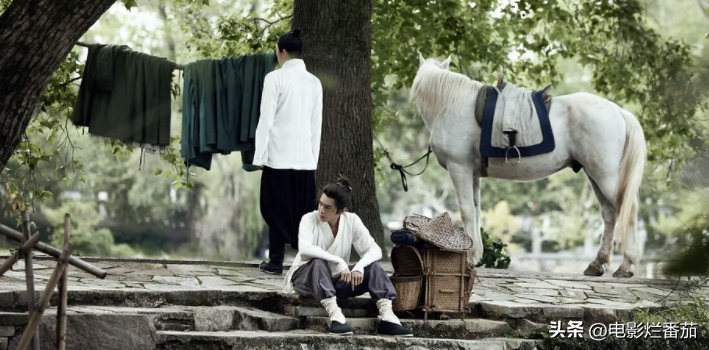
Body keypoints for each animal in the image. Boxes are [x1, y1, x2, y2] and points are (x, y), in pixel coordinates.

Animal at [410, 53, 648, 278]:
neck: (453, 105)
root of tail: (619, 112)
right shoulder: (473, 175)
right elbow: (476, 212)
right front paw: (476, 255)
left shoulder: (459, 168)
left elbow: (467, 211)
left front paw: (469, 257)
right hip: (595, 174)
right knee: (609, 214)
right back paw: (597, 264)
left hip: (607, 176)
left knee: (628, 212)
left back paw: (626, 266)